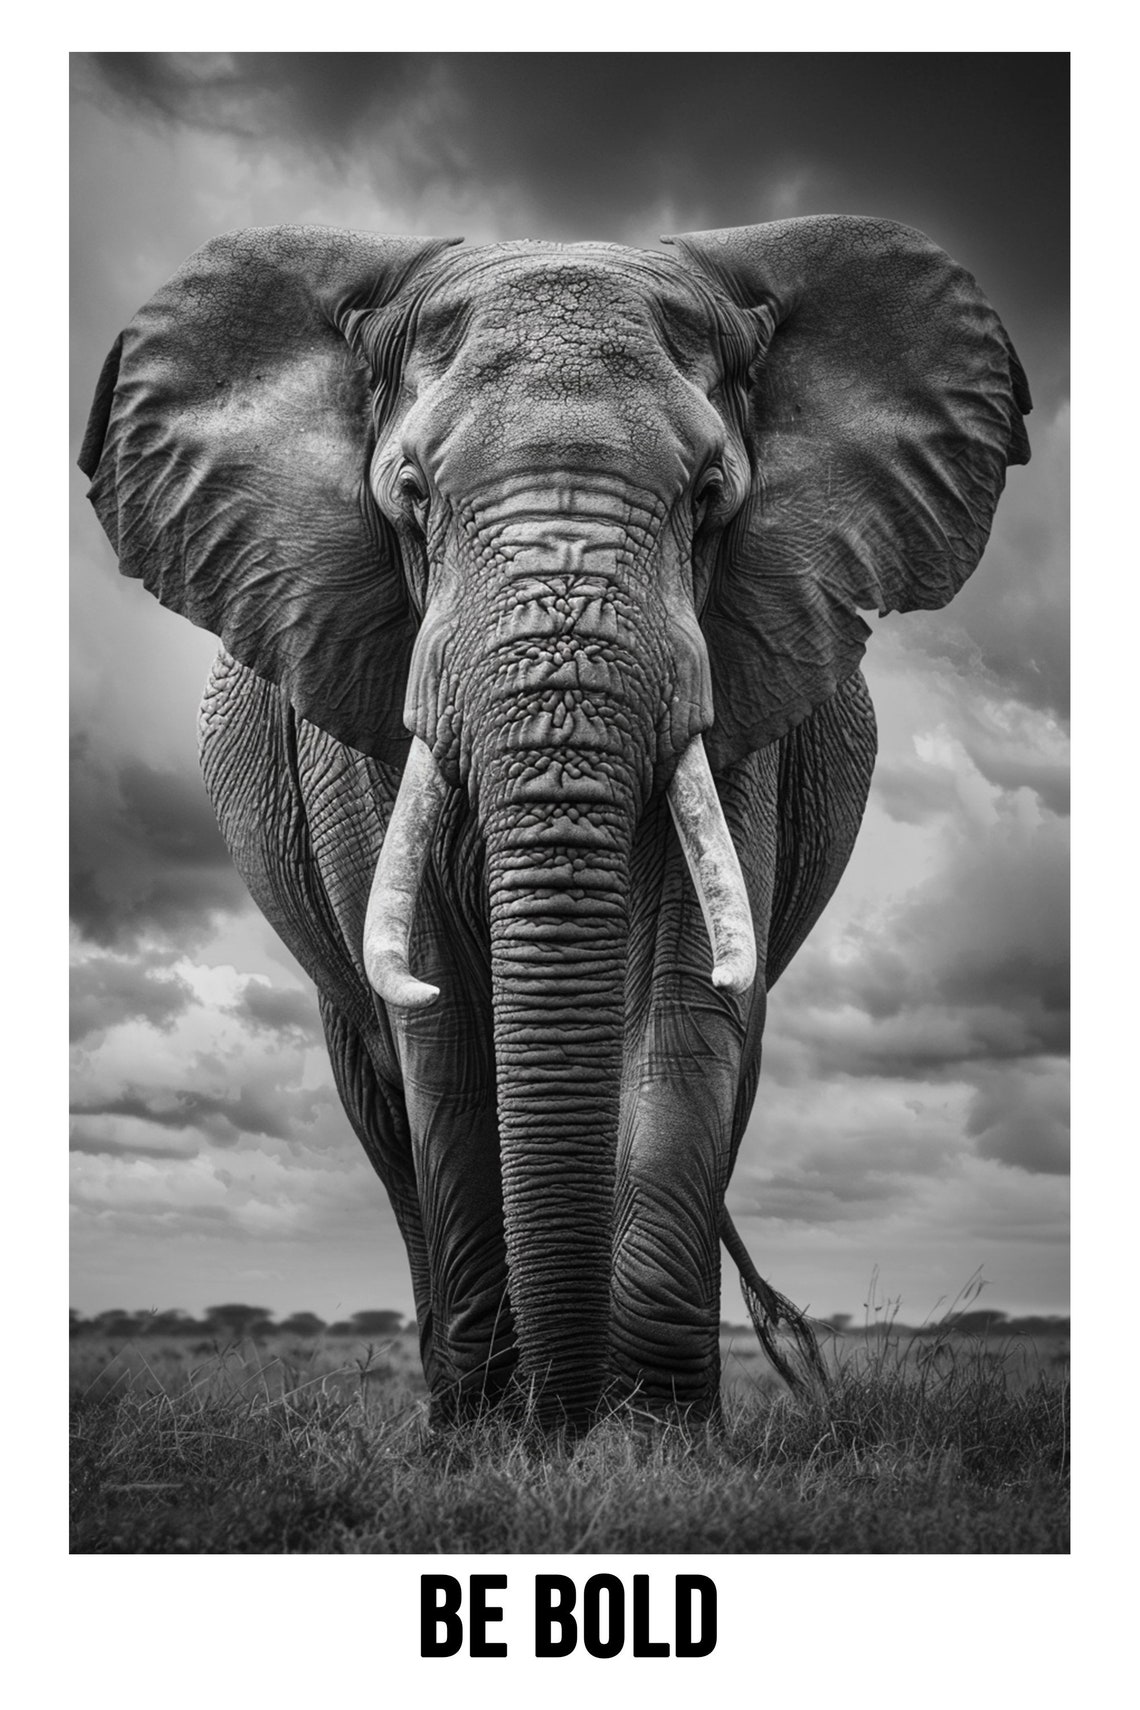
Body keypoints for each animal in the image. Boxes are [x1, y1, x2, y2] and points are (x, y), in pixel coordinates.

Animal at [79, 216, 1030, 1429]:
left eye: (711, 493)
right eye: (409, 491)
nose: (562, 1422)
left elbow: (683, 1005)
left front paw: (660, 1432)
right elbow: (439, 1023)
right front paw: (499, 1435)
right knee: (381, 1103)